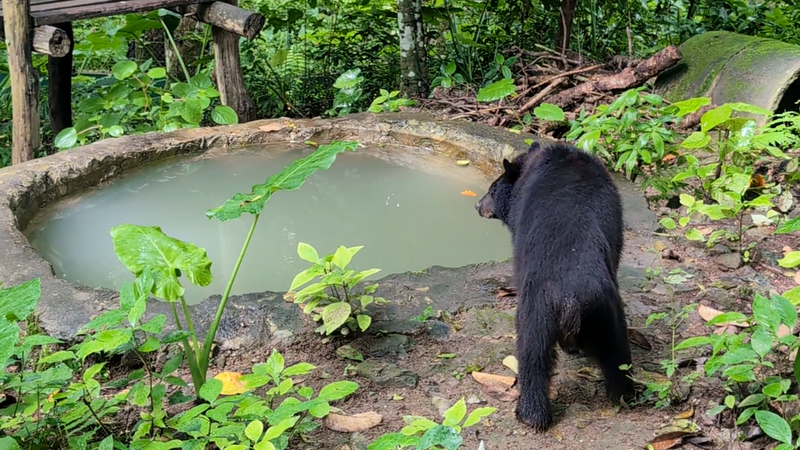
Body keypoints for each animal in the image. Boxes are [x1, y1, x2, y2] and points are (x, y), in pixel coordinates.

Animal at [475, 140, 634, 431]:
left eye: (492, 190)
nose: (477, 205)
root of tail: (571, 299)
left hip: (537, 312)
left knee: (532, 355)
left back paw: (530, 413)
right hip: (608, 312)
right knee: (618, 356)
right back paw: (623, 395)